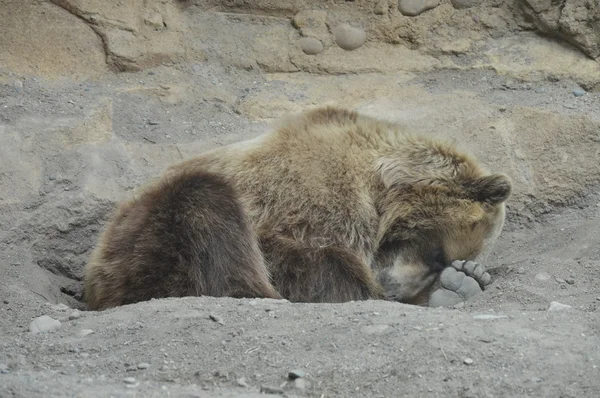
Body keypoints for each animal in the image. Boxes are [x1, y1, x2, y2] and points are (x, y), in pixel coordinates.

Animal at [84, 106, 510, 310]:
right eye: (437, 254)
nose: (394, 290)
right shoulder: (307, 199)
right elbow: (301, 258)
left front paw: (463, 279)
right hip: (140, 236)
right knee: (204, 209)